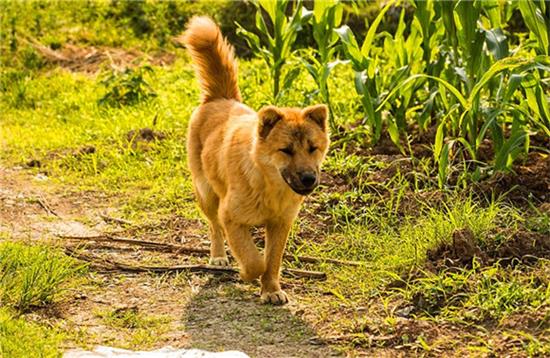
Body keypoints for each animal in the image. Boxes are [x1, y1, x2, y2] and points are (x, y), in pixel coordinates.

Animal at [183, 16, 330, 304]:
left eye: (313, 148)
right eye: (286, 150)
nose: (309, 178)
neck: (268, 185)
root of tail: (221, 98)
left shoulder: (280, 224)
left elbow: (272, 260)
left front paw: (270, 289)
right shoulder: (230, 216)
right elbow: (253, 260)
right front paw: (246, 273)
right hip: (206, 194)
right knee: (214, 227)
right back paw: (219, 256)